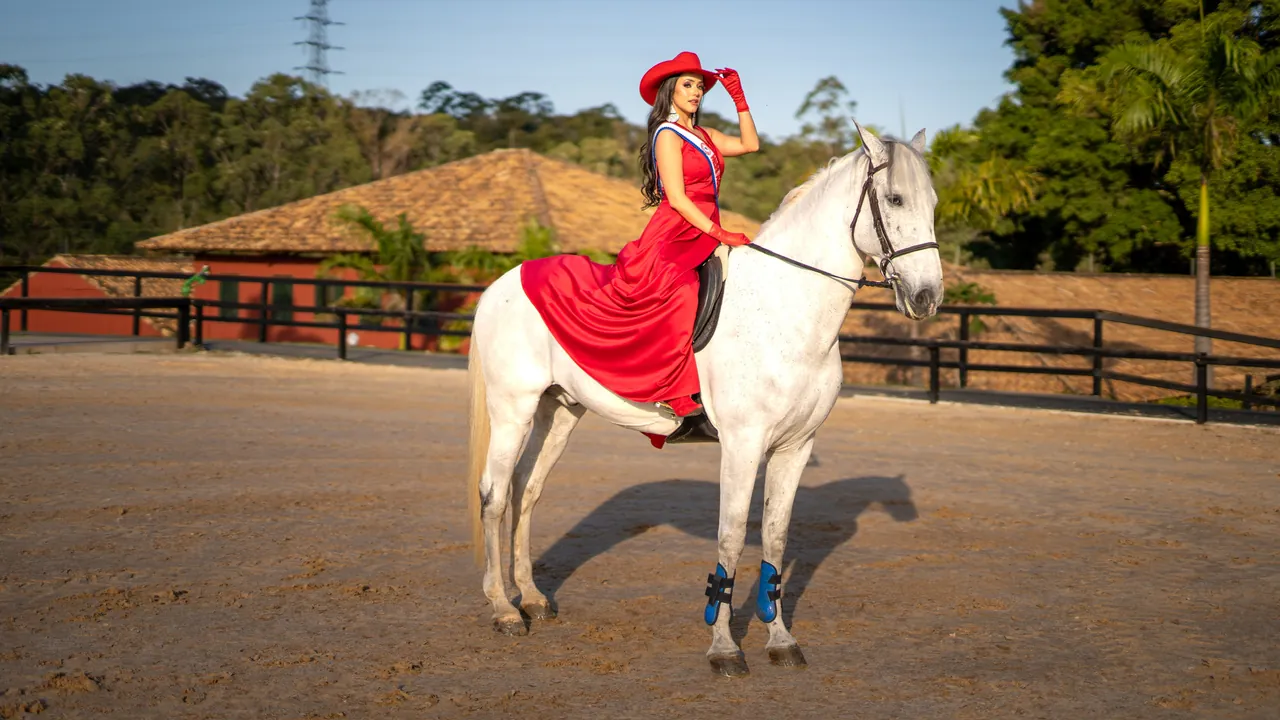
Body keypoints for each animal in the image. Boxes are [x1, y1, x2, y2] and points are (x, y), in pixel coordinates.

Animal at [465, 122, 944, 677]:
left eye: (932, 202)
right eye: (895, 199)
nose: (928, 297)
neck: (784, 308)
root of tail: (504, 281)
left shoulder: (795, 446)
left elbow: (776, 537)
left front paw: (781, 640)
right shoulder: (742, 444)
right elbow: (731, 536)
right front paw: (724, 648)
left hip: (558, 410)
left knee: (527, 490)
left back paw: (534, 599)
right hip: (513, 409)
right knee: (495, 495)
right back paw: (503, 609)